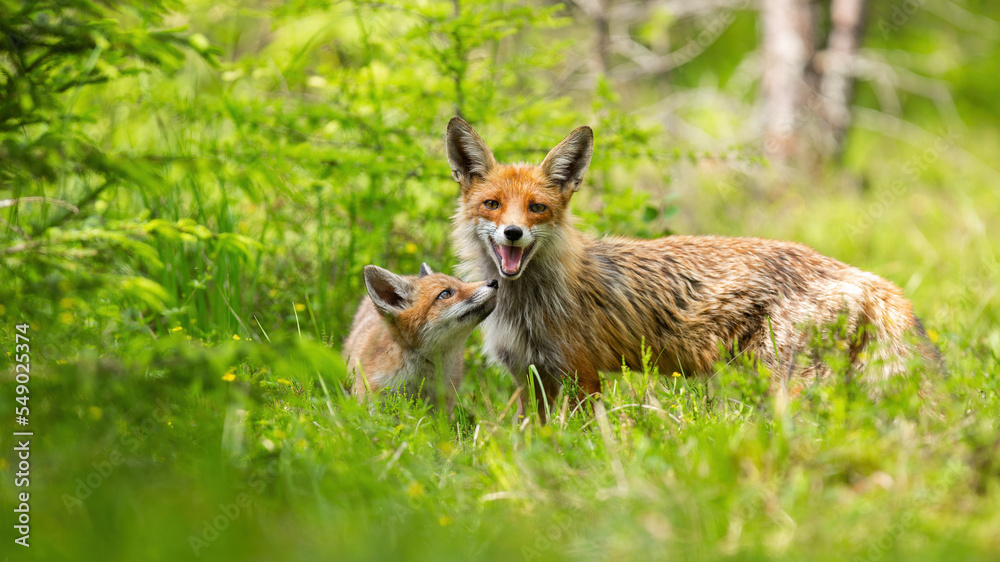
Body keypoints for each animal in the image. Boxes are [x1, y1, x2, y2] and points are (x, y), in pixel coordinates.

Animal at [445, 117, 941, 420]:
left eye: (537, 208)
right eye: (492, 204)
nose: (513, 233)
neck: (526, 304)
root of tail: (864, 275)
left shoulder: (581, 376)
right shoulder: (529, 380)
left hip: (788, 383)